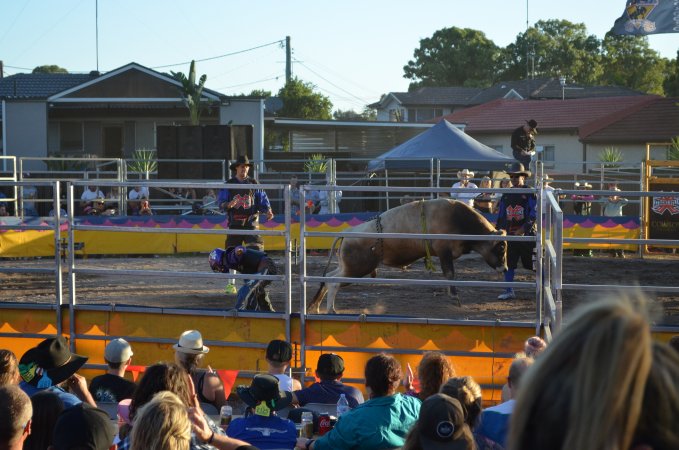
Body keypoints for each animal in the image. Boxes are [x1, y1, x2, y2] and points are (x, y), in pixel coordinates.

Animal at [310, 199, 508, 314]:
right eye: (501, 248)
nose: (505, 268)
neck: (458, 219)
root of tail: (348, 232)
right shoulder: (444, 252)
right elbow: (450, 274)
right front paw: (454, 297)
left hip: (348, 267)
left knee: (328, 277)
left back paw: (318, 306)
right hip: (356, 269)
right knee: (333, 282)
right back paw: (330, 309)